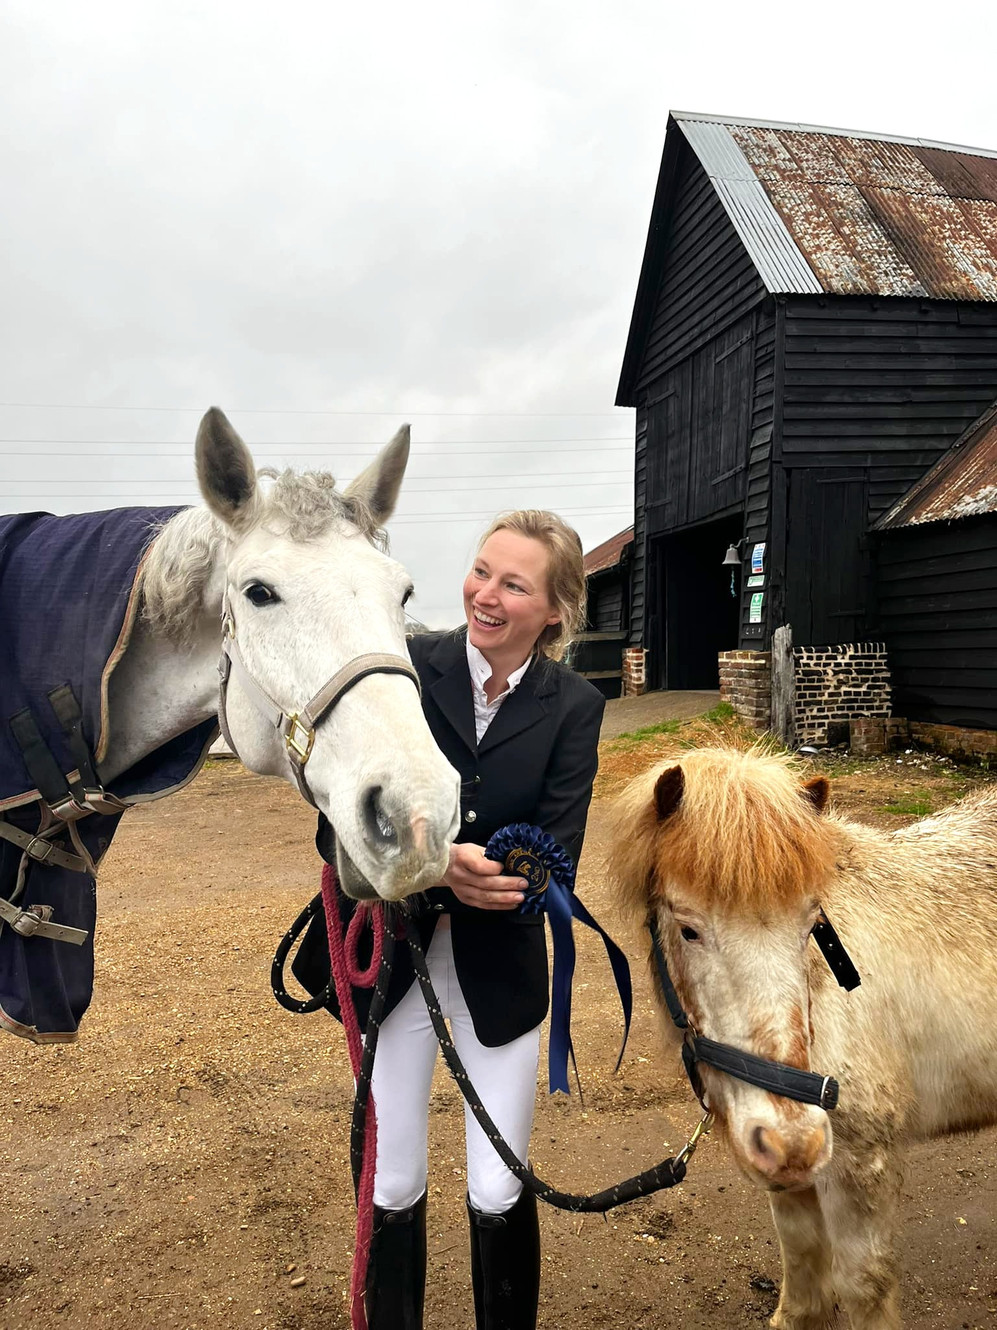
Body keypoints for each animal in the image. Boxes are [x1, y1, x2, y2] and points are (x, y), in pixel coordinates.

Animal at [608, 744, 997, 1330]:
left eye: (812, 924)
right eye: (688, 929)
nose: (794, 1140)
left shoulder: (861, 1168)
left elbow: (864, 1285)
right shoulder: (790, 1182)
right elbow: (802, 1273)